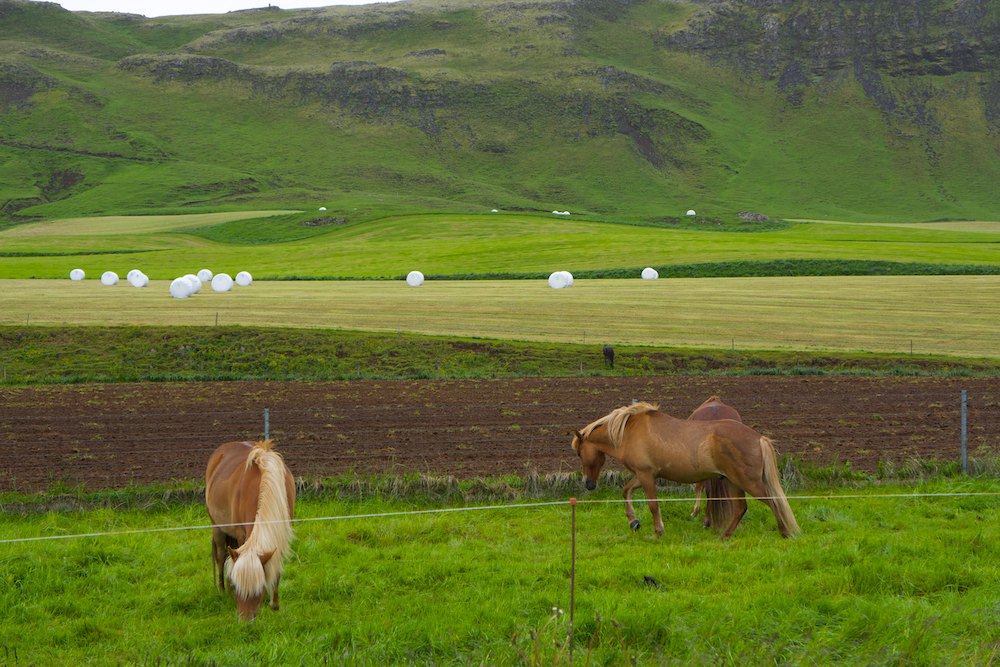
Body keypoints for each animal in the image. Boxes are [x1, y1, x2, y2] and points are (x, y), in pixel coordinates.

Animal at [205, 440, 294, 624]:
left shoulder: (281, 534)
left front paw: (274, 604)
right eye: (237, 586)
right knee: (221, 557)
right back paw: (222, 590)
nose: (245, 622)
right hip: (217, 527)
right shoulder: (241, 534)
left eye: (259, 587)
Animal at [576, 404, 800, 540]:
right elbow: (626, 491)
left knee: (772, 501)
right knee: (740, 509)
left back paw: (785, 533)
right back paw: (724, 537)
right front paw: (633, 522)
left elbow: (653, 505)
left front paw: (657, 532)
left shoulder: (646, 476)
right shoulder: (643, 475)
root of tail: (758, 438)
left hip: (747, 482)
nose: (588, 483)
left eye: (579, 453)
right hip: (733, 482)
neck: (629, 431)